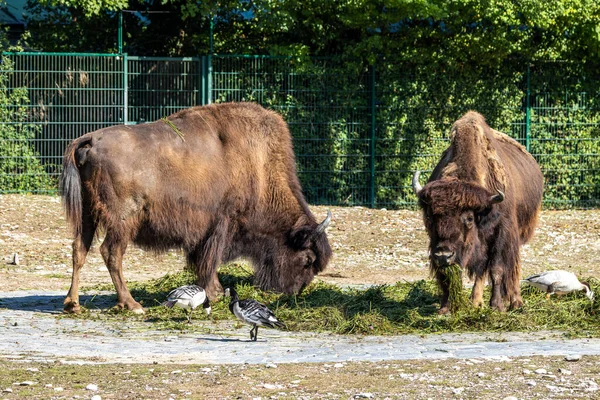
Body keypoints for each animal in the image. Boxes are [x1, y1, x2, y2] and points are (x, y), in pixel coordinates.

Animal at [59, 101, 332, 314]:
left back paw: (73, 304)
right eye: (307, 259)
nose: (294, 292)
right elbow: (210, 260)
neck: (260, 169)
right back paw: (132, 304)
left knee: (79, 249)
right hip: (123, 220)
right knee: (111, 253)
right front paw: (216, 293)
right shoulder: (222, 224)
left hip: (87, 214)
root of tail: (90, 139)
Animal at [412, 111, 544, 314]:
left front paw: (497, 305)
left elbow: (497, 269)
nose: (443, 255)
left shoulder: (502, 232)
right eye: (430, 216)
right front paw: (445, 308)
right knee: (482, 270)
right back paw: (476, 301)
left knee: (512, 267)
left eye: (468, 218)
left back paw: (515, 301)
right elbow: (448, 275)